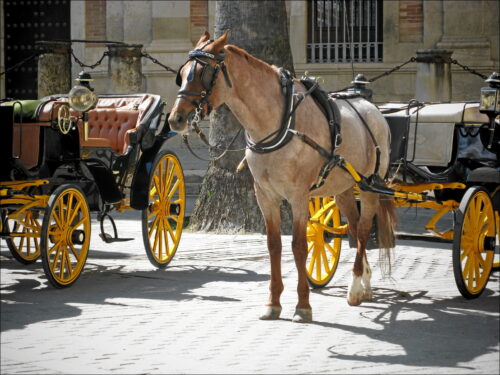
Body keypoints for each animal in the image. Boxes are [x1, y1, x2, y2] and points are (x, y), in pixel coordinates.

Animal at [170, 31, 396, 324]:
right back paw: (365, 283)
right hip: (343, 188)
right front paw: (273, 303)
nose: (176, 119)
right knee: (356, 230)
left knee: (366, 229)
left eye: (203, 73)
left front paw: (303, 305)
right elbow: (274, 245)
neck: (278, 122)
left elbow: (299, 246)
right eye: (182, 73)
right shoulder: (265, 196)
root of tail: (372, 107)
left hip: (368, 186)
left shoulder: (298, 197)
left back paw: (356, 287)